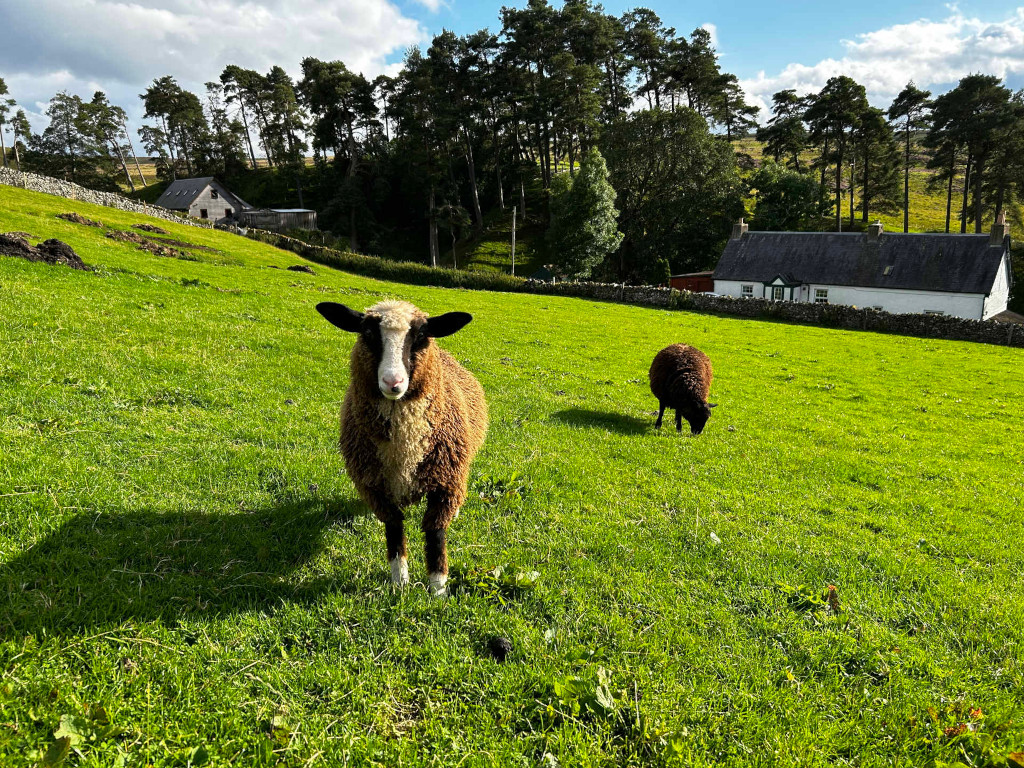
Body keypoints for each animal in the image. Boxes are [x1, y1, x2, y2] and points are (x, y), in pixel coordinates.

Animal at [316, 299, 488, 595]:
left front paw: (437, 588)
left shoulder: (445, 481)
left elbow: (435, 532)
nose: (392, 382)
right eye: (368, 334)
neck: (404, 448)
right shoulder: (376, 486)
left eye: (420, 336)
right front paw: (400, 582)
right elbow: (394, 528)